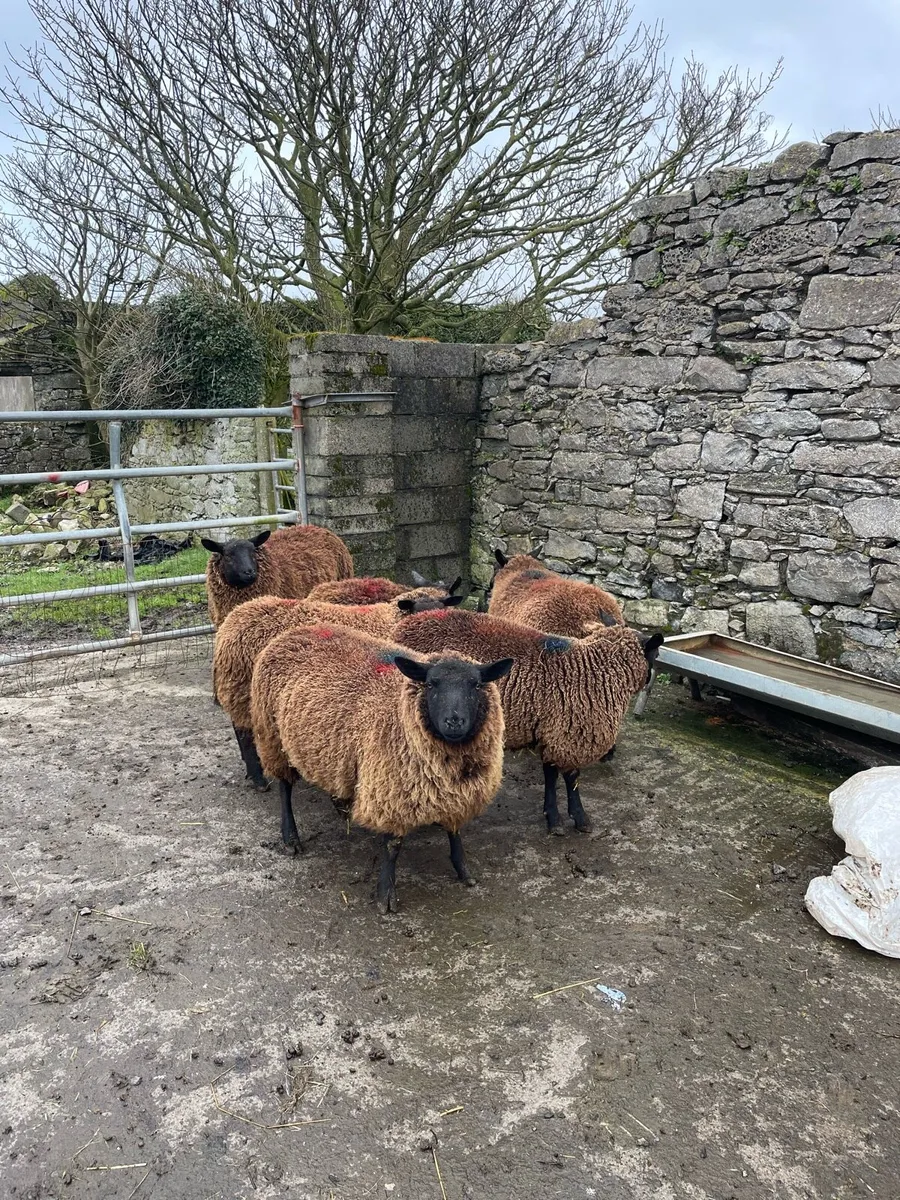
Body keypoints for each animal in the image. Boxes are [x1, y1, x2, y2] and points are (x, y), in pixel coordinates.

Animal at [213, 589, 464, 789]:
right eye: (418, 611)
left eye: (443, 607)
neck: (387, 619)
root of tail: (233, 618)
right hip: (244, 690)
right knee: (243, 732)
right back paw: (258, 779)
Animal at [249, 623, 512, 911]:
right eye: (431, 683)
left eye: (475, 684)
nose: (454, 721)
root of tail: (296, 630)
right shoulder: (390, 788)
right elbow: (392, 846)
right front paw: (385, 895)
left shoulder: (456, 793)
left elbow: (454, 831)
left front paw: (463, 871)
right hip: (272, 735)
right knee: (284, 787)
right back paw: (291, 838)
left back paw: (341, 805)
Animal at [392, 606, 663, 834]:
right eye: (656, 653)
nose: (650, 680)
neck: (595, 668)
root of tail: (403, 626)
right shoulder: (568, 733)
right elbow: (570, 777)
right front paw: (572, 819)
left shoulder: (554, 733)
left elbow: (551, 775)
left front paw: (554, 816)